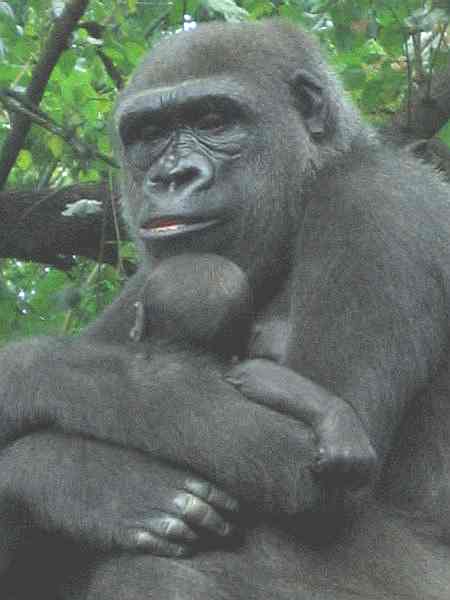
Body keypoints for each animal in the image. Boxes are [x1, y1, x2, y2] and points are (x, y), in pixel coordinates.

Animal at [0, 16, 450, 600]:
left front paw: (29, 408)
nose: (172, 178)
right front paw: (89, 482)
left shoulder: (378, 204)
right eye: (149, 135)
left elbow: (311, 462)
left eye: (213, 120)